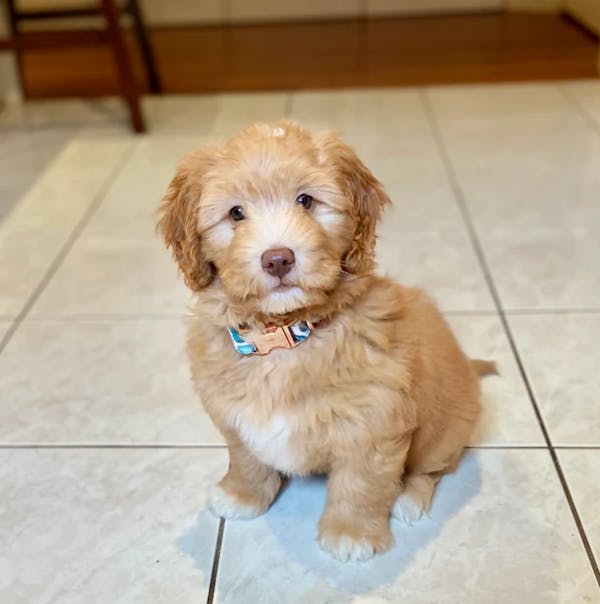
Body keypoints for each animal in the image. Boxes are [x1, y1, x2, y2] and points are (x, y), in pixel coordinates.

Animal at [157, 120, 494, 564]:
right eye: (235, 213)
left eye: (306, 201)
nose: (277, 258)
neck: (285, 337)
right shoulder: (233, 414)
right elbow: (246, 459)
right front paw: (242, 496)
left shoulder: (371, 423)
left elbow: (360, 484)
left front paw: (351, 534)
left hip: (443, 432)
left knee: (433, 469)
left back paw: (409, 498)